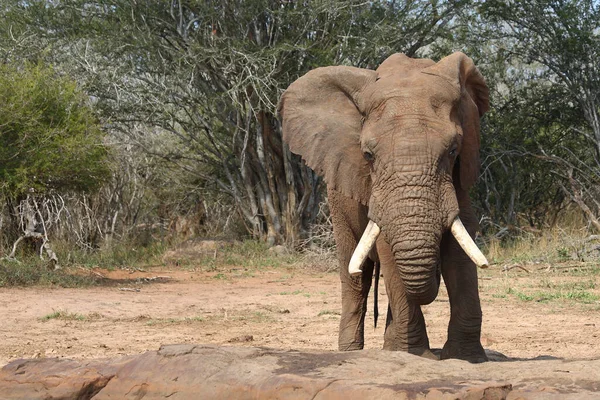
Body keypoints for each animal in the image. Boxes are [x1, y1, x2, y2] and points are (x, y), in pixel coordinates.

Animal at [278, 52, 490, 362]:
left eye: (453, 150)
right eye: (368, 155)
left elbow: (461, 248)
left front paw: (465, 358)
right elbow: (387, 248)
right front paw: (417, 355)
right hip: (337, 202)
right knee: (356, 276)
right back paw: (352, 350)